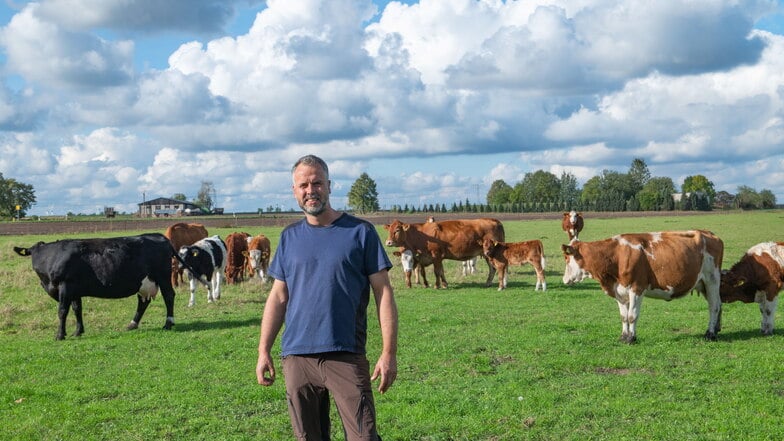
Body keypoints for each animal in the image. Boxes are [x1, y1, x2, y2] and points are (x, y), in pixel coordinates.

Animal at [14, 234, 181, 340]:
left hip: (163, 277)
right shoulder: (74, 290)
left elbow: (62, 311)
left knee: (169, 296)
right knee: (143, 302)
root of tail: (159, 236)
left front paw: (60, 335)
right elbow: (77, 309)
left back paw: (168, 323)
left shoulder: (65, 286)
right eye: (30, 253)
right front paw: (78, 331)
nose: (35, 264)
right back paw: (132, 324)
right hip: (143, 283)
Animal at [560, 230, 724, 344]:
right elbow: (623, 316)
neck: (617, 256)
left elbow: (632, 316)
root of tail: (709, 234)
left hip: (712, 279)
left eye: (567, 258)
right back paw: (716, 330)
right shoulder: (619, 292)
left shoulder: (636, 288)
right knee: (719, 304)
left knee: (714, 306)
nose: (564, 279)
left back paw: (710, 334)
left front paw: (631, 338)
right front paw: (623, 336)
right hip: (702, 284)